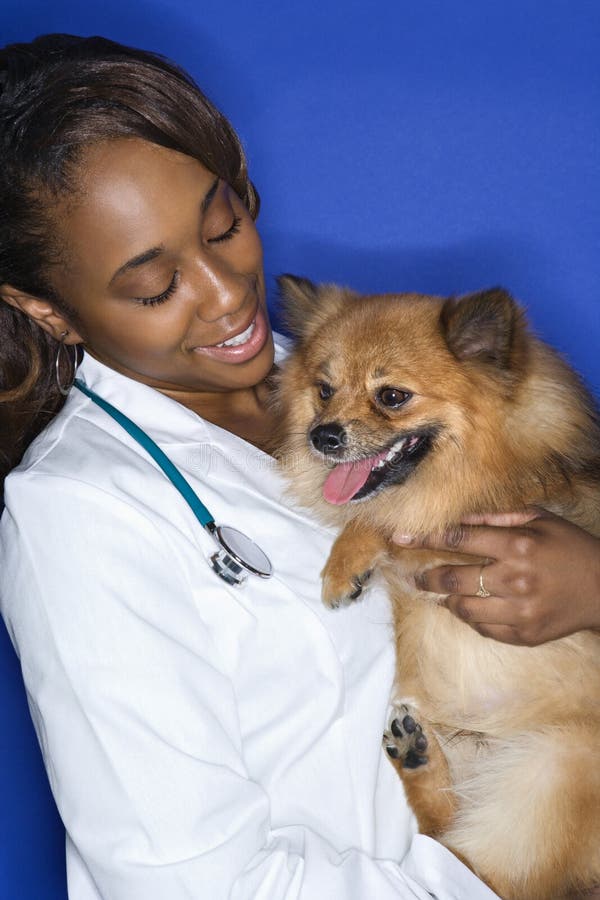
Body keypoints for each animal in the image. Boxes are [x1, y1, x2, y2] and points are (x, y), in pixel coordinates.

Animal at [274, 276, 600, 900]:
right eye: (324, 390)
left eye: (392, 396)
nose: (321, 436)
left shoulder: (482, 536)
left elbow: (386, 519)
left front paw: (343, 564)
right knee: (445, 833)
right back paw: (416, 756)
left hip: (556, 768)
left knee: (486, 875)